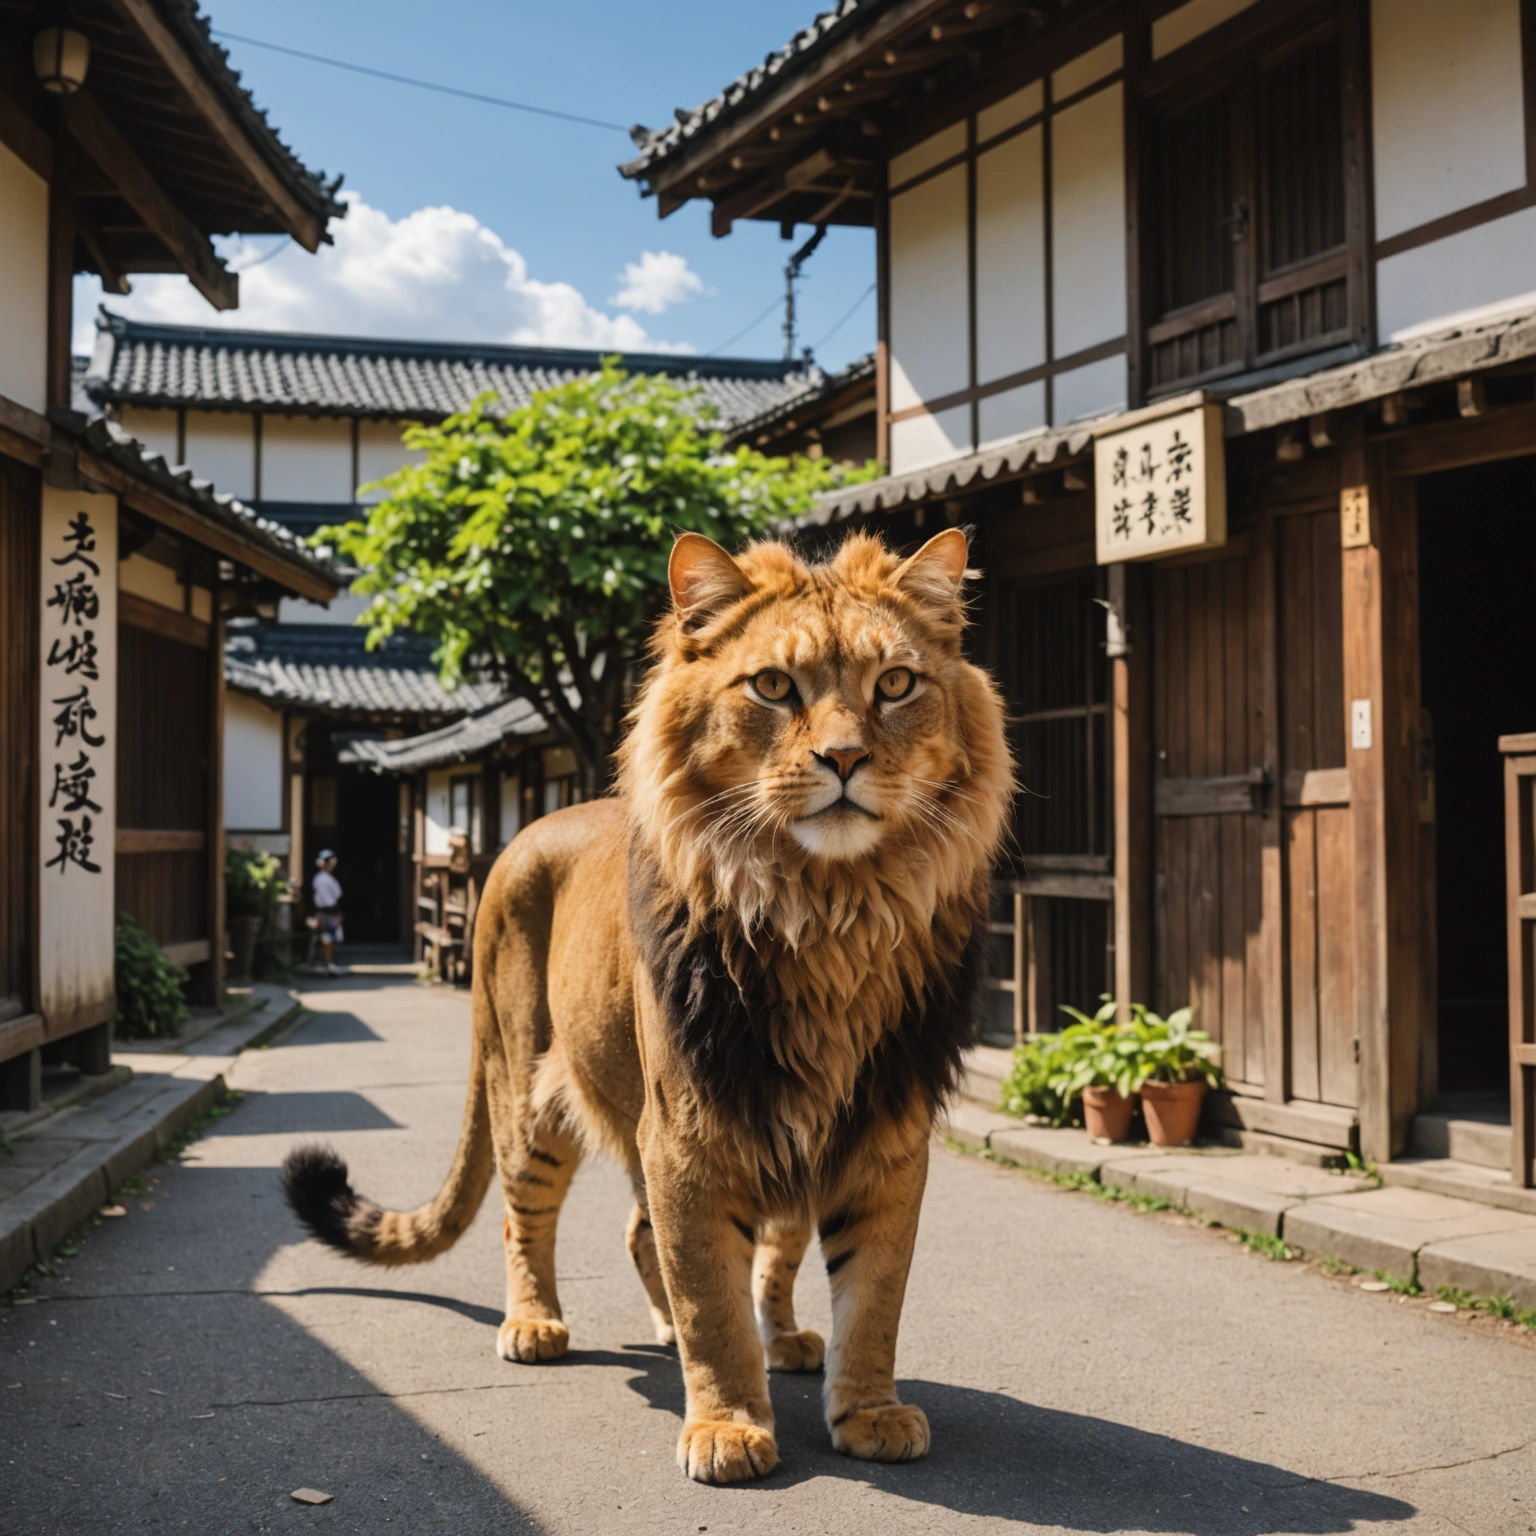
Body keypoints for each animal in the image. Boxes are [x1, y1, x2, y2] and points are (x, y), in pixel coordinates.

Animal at [282, 525, 1013, 1474]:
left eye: (895, 685)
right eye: (773, 686)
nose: (846, 759)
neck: (828, 911)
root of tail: (522, 834)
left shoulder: (884, 1127)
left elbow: (874, 1293)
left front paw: (869, 1411)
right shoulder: (689, 1128)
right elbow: (709, 1292)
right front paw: (728, 1424)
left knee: (681, 1238)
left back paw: (768, 1337)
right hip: (531, 1090)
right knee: (529, 1218)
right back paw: (536, 1325)